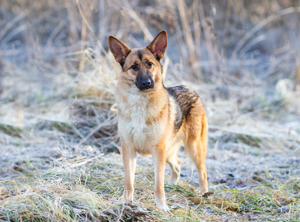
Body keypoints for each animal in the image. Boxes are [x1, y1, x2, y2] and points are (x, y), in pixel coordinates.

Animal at [108, 30, 209, 210]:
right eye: (134, 67)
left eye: (149, 64)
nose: (147, 82)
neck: (140, 103)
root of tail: (190, 88)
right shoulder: (128, 148)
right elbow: (129, 181)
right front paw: (126, 201)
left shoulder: (157, 150)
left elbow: (158, 183)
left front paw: (161, 207)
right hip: (169, 151)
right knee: (178, 164)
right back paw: (173, 185)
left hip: (193, 147)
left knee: (202, 172)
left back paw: (205, 195)